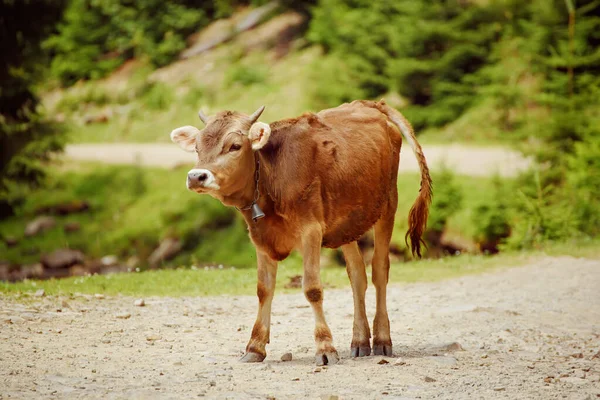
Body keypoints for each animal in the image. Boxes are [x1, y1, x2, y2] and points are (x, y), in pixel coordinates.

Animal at [169, 100, 432, 366]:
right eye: (198, 147)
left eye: (235, 146)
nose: (196, 176)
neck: (273, 176)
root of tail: (370, 104)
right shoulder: (259, 236)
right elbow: (263, 289)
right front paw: (255, 347)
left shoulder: (311, 230)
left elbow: (312, 289)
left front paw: (325, 348)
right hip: (348, 223)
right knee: (358, 275)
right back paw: (359, 341)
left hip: (388, 206)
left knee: (379, 270)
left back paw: (381, 339)